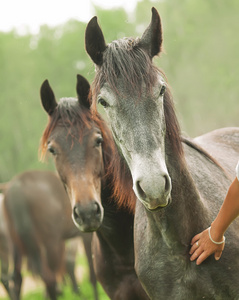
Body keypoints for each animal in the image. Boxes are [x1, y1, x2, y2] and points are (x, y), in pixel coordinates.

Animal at [1, 171, 97, 300]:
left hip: (16, 244)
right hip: (50, 244)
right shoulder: (85, 236)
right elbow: (89, 268)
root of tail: (17, 185)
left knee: (17, 278)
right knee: (49, 277)